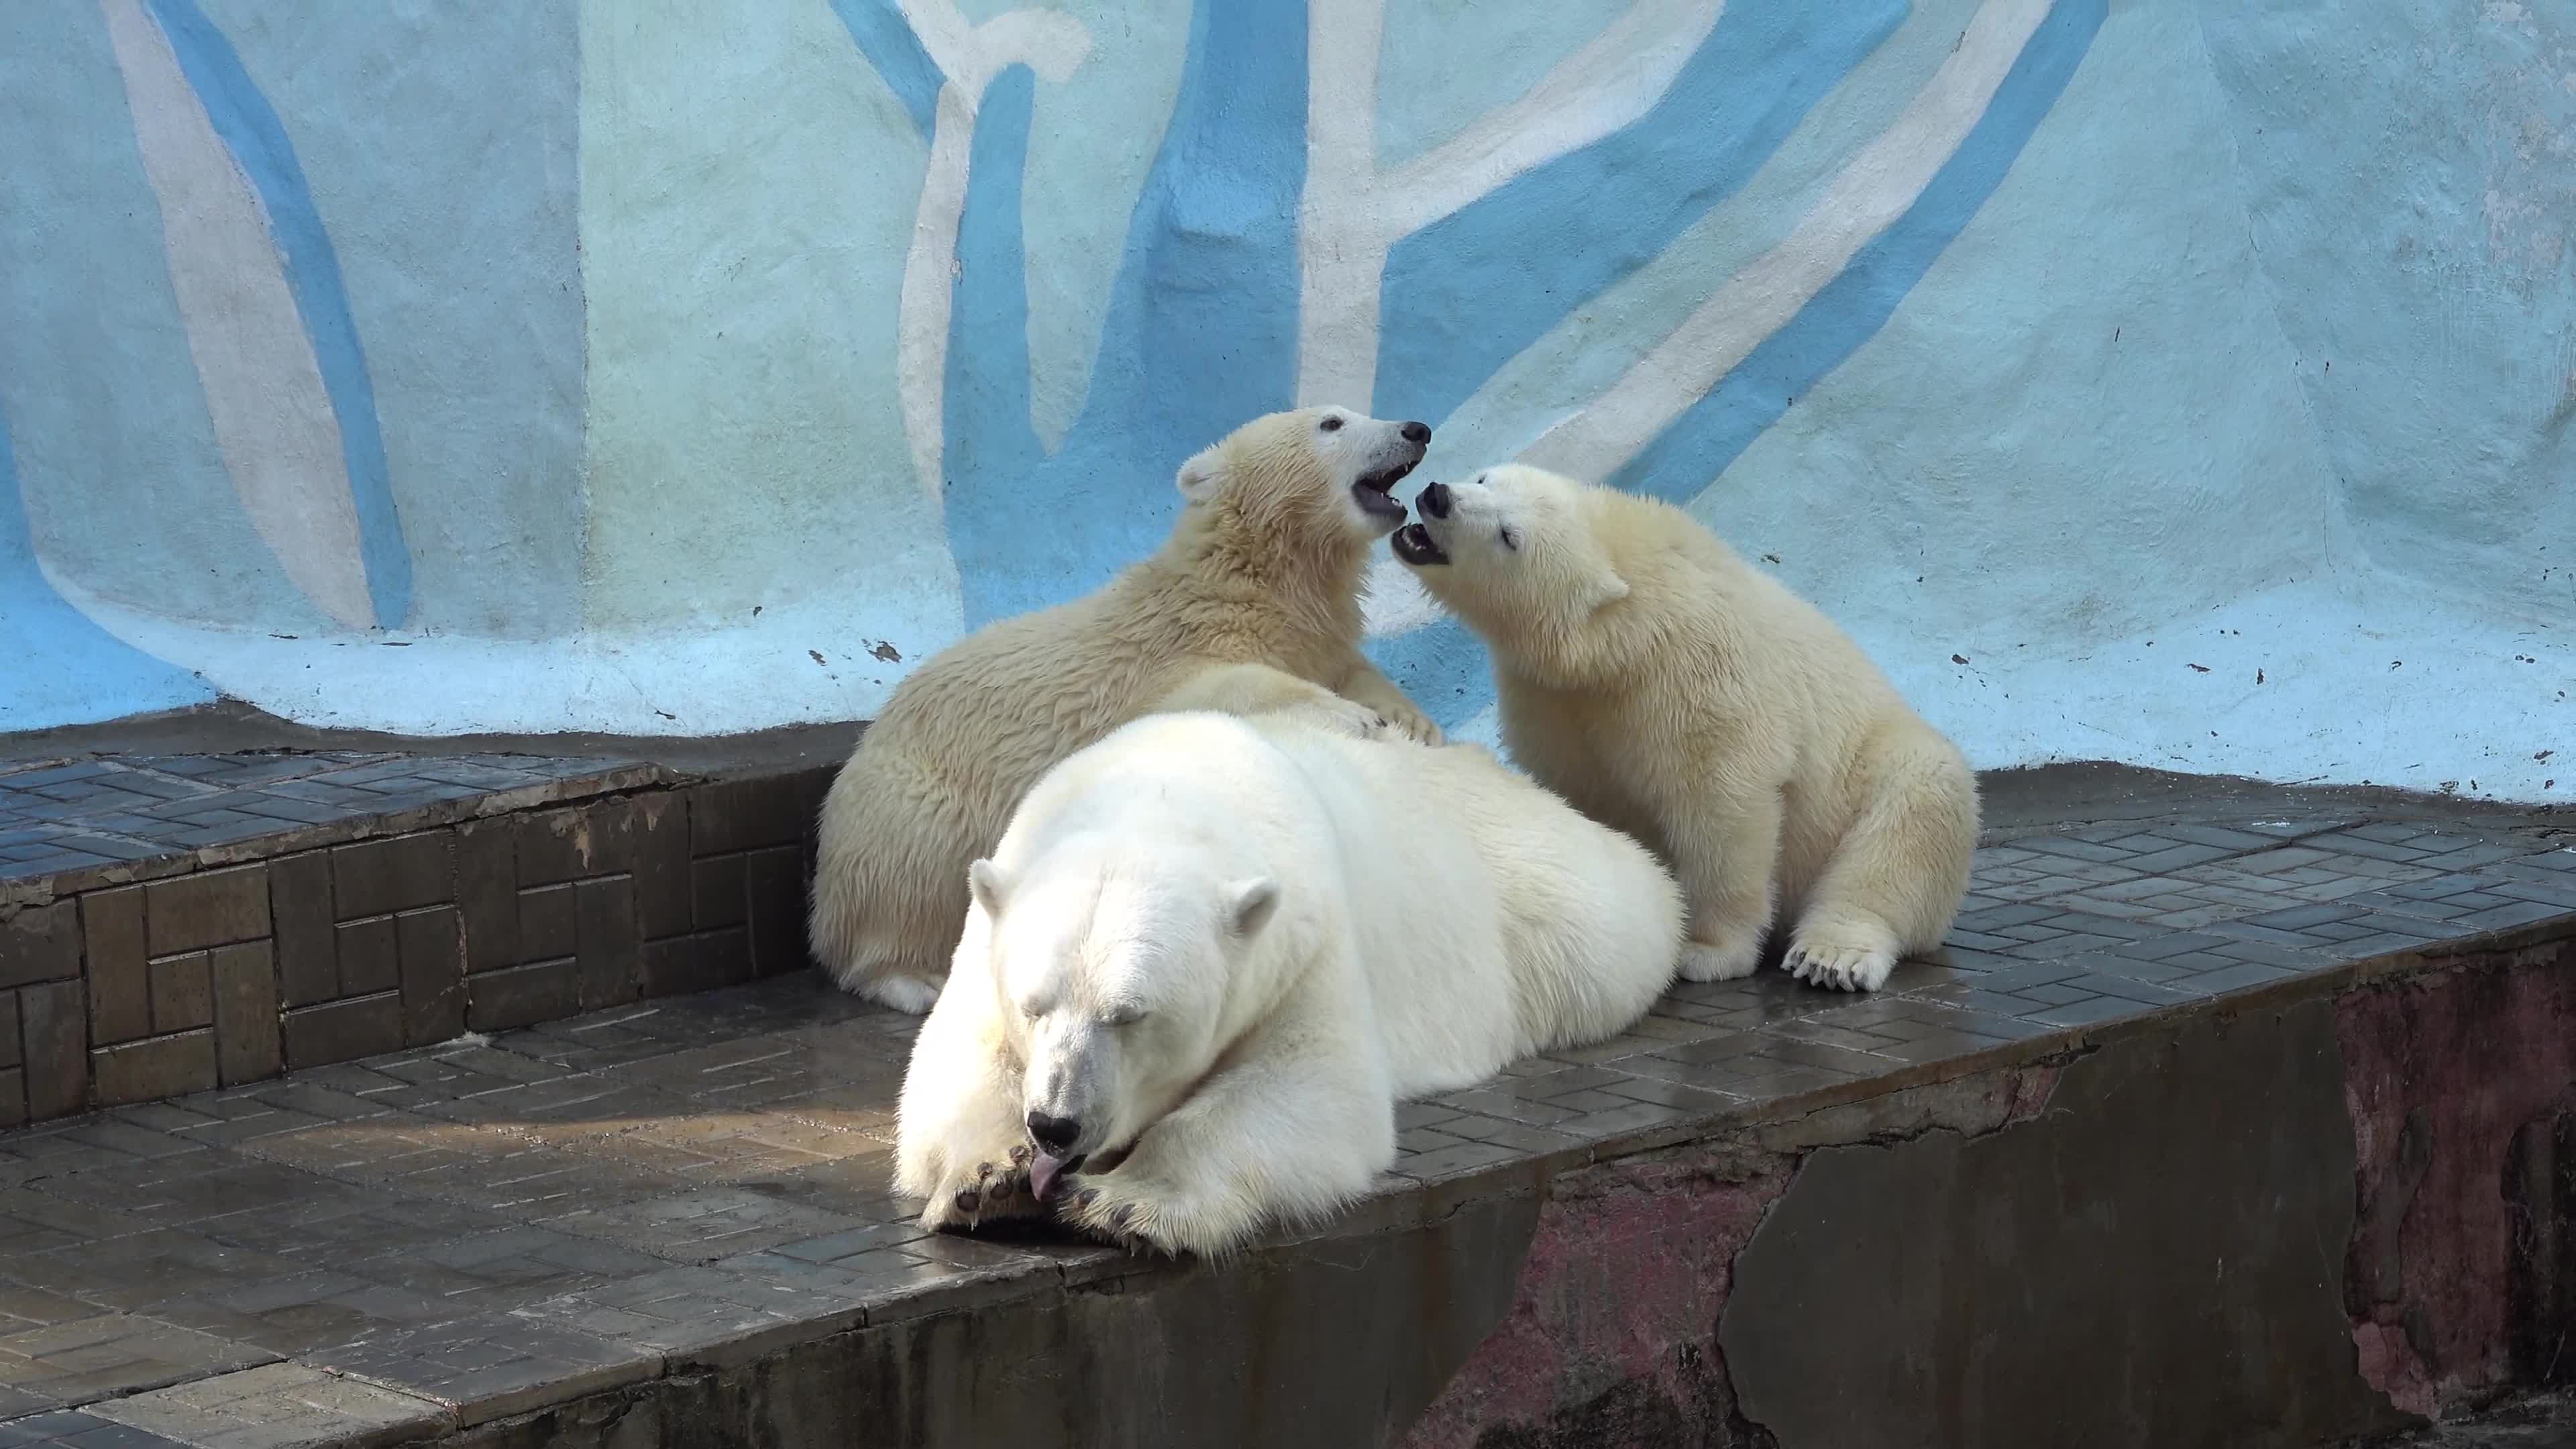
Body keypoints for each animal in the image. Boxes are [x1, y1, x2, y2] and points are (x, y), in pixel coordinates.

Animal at [808, 407, 1452, 1010]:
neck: (1252, 578)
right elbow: (1210, 694)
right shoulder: (1172, 651)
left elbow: (1352, 669)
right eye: (1332, 421)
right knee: (908, 878)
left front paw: (1411, 720)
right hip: (910, 810)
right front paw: (1348, 717)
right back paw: (909, 978)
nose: (1416, 429)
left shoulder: (1315, 636)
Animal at [891, 670, 1690, 1258]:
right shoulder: (989, 936)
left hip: (1540, 896)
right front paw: (991, 1178)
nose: (1055, 1125)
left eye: (1130, 1016)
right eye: (1034, 1005)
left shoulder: (1303, 944)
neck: (1161, 790)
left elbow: (1315, 1089)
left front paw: (1124, 1204)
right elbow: (949, 1072)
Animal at [1391, 461, 1968, 989]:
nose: (1438, 496)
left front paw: (1708, 952)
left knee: (1909, 822)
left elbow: (1722, 804)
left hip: (1877, 770)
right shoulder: (1554, 700)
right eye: (1485, 479)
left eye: (1510, 536)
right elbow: (1580, 791)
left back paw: (1831, 955)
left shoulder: (1695, 673)